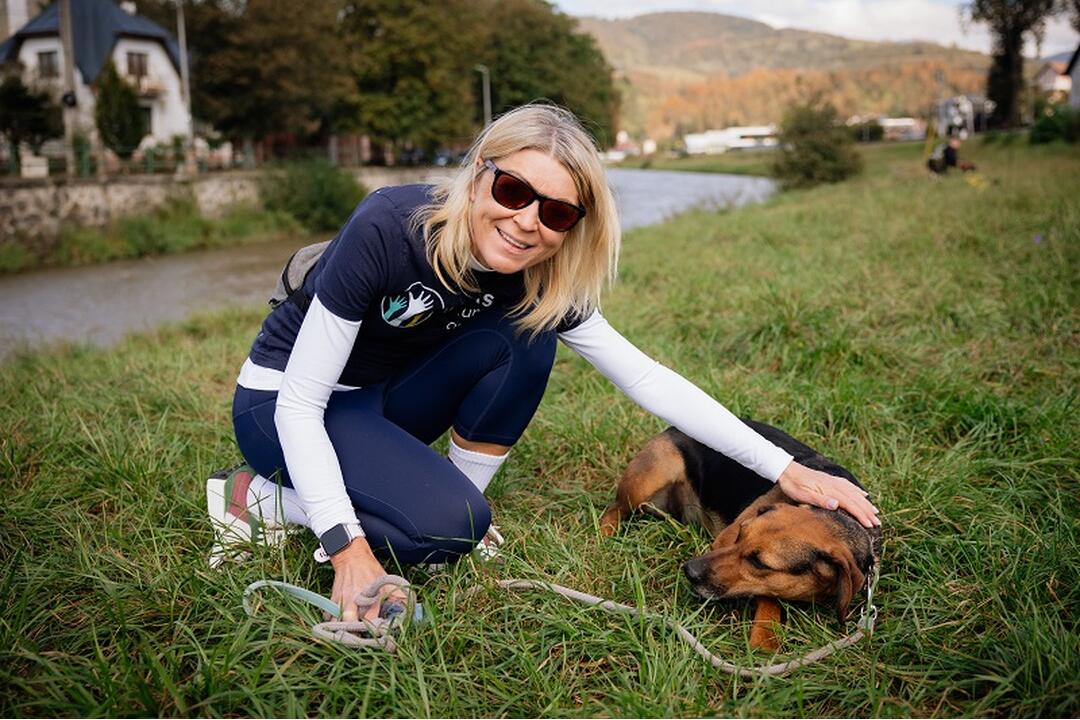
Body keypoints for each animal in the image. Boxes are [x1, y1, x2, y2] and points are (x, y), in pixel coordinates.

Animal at [604, 418, 881, 651]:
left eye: (759, 562)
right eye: (740, 534)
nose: (689, 570)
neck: (839, 515)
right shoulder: (724, 539)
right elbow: (769, 597)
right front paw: (765, 638)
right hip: (653, 473)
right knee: (613, 511)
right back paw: (605, 535)